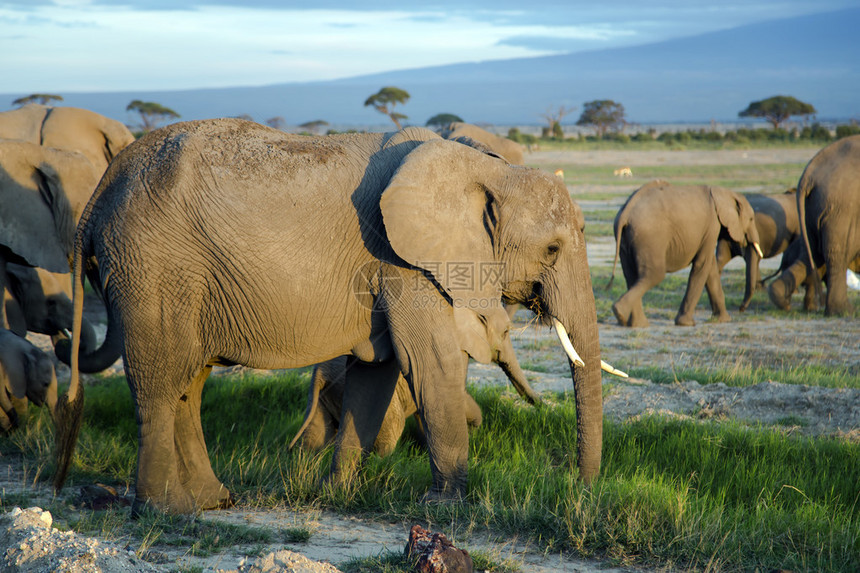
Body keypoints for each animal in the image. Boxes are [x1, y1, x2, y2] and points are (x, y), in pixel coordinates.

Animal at [292, 306, 540, 458]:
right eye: (506, 332)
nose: (540, 404)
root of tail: (320, 372)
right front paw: (473, 429)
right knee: (392, 427)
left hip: (325, 394)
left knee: (315, 433)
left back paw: (307, 459)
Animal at [608, 181, 764, 328]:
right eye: (751, 219)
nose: (741, 309)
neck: (723, 193)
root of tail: (625, 212)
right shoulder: (712, 226)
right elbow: (702, 265)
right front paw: (687, 323)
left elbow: (710, 270)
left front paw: (724, 320)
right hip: (650, 237)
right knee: (654, 275)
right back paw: (621, 313)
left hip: (627, 239)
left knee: (632, 276)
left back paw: (637, 324)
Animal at [772, 134, 860, 316]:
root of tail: (809, 174)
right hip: (840, 209)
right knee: (837, 255)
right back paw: (843, 311)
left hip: (813, 210)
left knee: (811, 254)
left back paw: (781, 300)